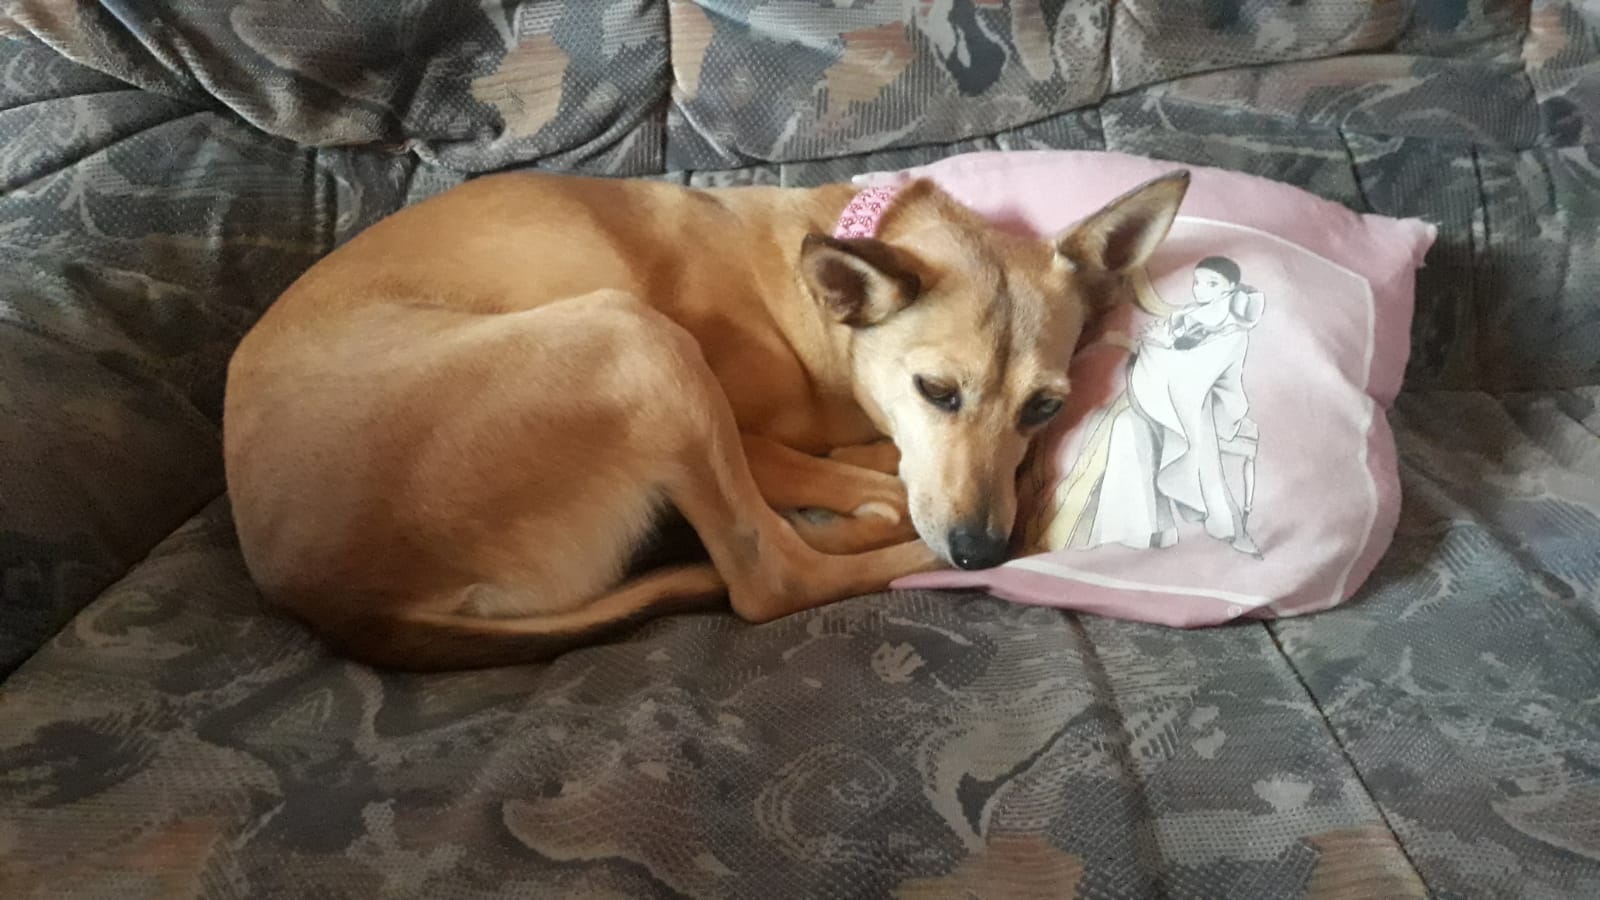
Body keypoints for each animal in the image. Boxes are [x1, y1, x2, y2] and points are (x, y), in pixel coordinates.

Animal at [222, 167, 1189, 670]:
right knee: (769, 577)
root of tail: (339, 604)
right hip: (635, 338)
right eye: (937, 391)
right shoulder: (755, 431)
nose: (977, 552)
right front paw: (877, 485)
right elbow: (832, 473)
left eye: (1046, 406)